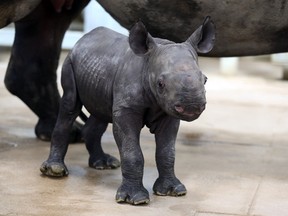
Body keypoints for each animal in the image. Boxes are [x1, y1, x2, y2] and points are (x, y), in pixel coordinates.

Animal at [41, 16, 215, 204]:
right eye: (160, 84)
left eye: (205, 80)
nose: (192, 106)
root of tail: (81, 41)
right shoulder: (126, 109)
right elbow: (131, 151)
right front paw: (135, 199)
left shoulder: (168, 111)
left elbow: (167, 151)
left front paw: (173, 191)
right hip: (70, 63)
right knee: (70, 106)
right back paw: (55, 171)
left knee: (100, 113)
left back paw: (104, 164)